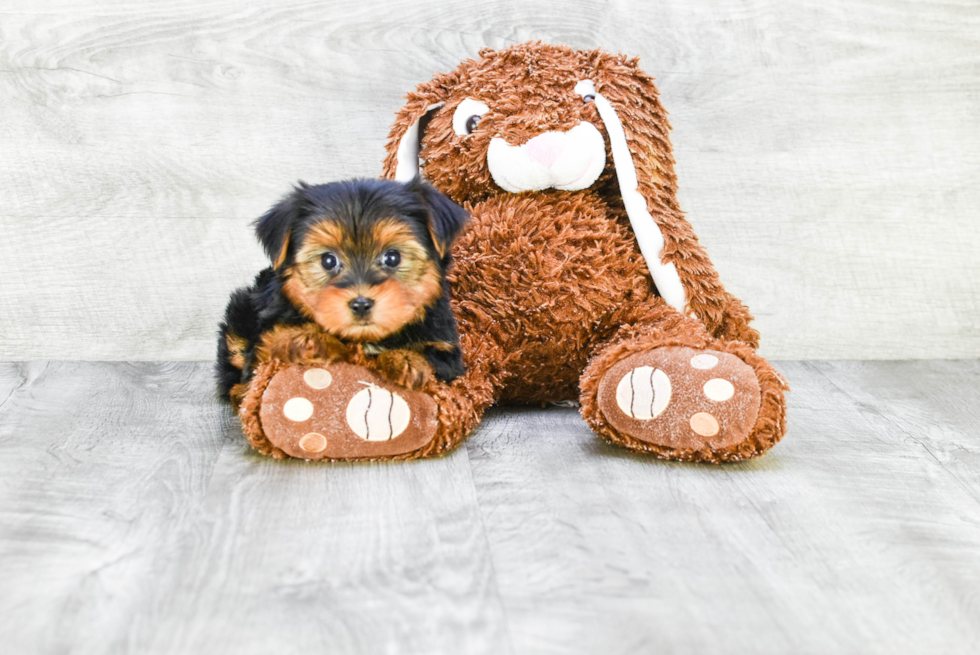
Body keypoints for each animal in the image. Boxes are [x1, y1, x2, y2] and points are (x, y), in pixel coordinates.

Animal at [218, 179, 470, 404]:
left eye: (393, 257)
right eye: (328, 261)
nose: (361, 304)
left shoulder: (446, 349)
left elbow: (434, 359)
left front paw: (407, 360)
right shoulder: (267, 331)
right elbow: (271, 344)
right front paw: (308, 339)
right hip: (241, 309)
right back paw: (240, 392)